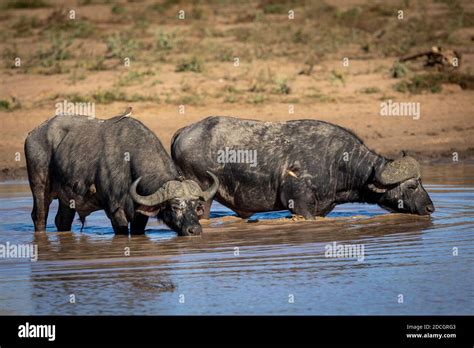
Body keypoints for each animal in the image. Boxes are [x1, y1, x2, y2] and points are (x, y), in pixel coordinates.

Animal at [24, 112, 218, 237]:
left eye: (196, 206)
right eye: (175, 206)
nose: (195, 230)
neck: (129, 163)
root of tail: (32, 134)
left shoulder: (140, 215)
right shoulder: (115, 211)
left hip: (68, 198)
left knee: (62, 221)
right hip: (39, 187)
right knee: (39, 216)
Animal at [172, 117, 436, 220]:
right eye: (412, 186)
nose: (430, 208)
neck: (338, 163)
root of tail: (184, 131)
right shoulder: (300, 205)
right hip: (203, 197)